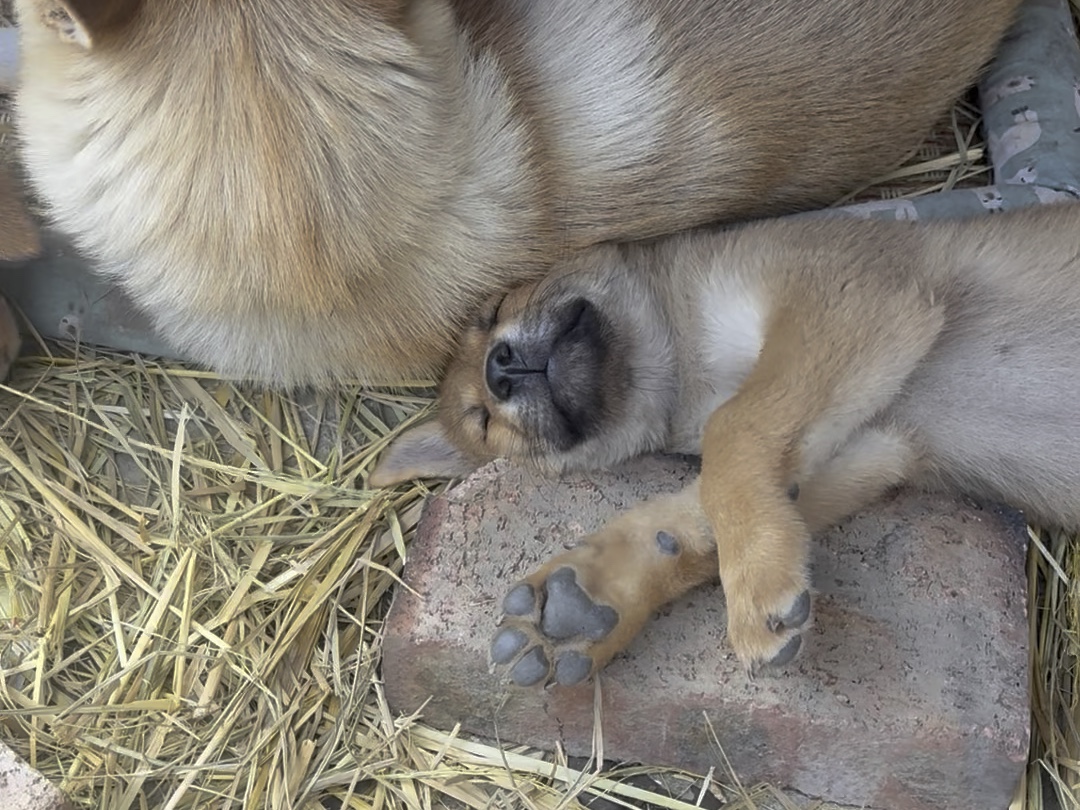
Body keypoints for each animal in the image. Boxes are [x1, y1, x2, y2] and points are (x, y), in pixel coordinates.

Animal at [375, 206, 1080, 686]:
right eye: (482, 422)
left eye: (494, 307)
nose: (499, 371)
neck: (688, 364)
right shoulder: (871, 439)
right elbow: (696, 514)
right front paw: (586, 602)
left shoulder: (848, 300)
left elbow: (732, 432)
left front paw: (756, 578)